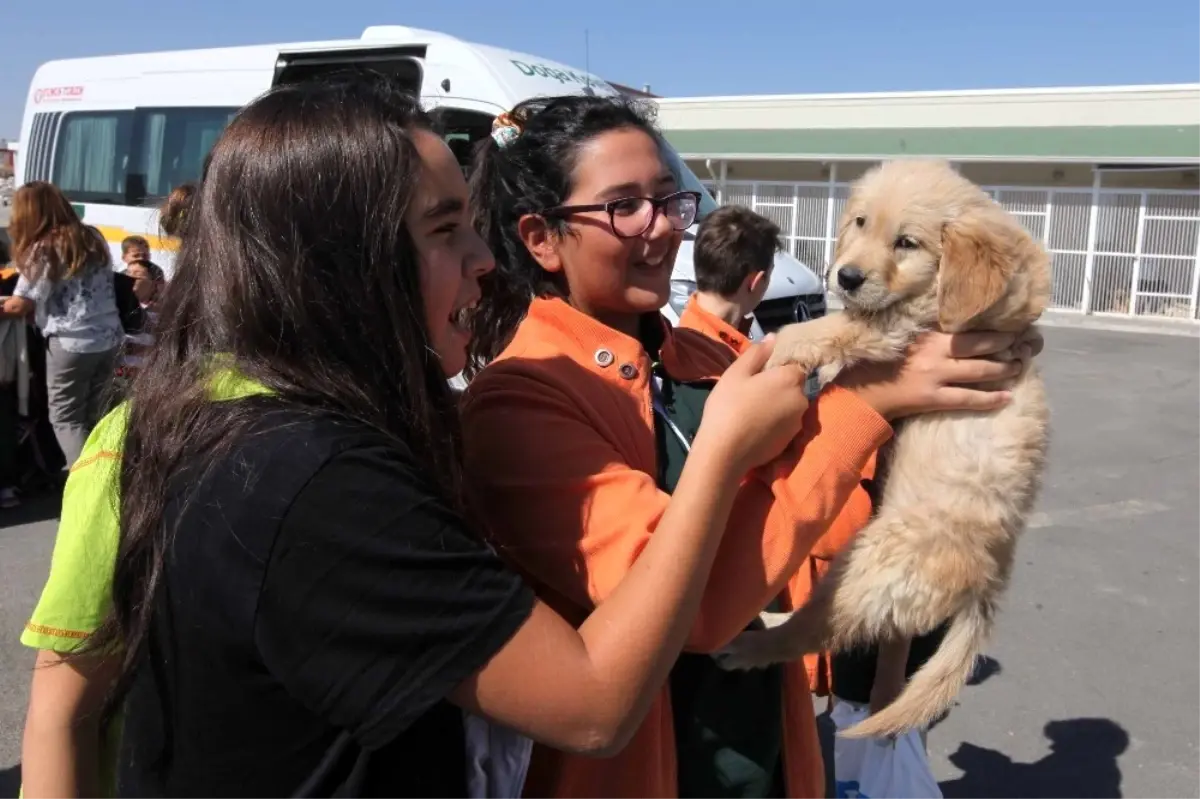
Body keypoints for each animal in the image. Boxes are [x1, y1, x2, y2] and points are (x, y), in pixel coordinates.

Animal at [720, 158, 1051, 739]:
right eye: (859, 223)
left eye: (907, 243)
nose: (845, 277)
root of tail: (987, 582)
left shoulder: (907, 323)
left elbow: (838, 325)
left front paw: (774, 350)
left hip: (866, 565)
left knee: (817, 631)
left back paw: (750, 642)